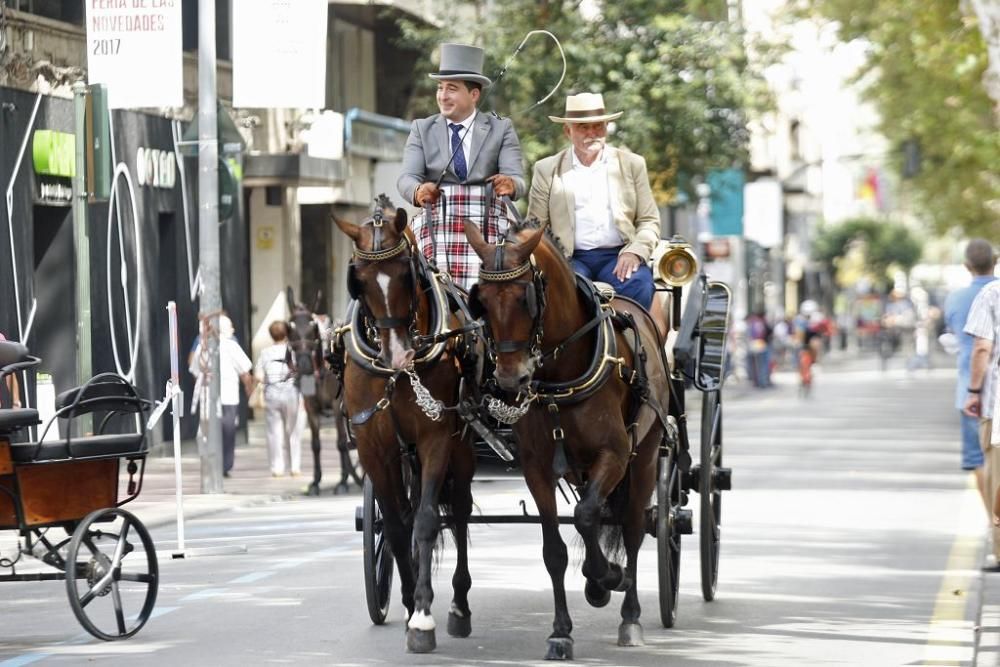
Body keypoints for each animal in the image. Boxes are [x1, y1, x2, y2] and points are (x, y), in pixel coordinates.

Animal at [282, 288, 360, 496]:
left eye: (312, 326)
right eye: (290, 327)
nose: (303, 364)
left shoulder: (336, 405)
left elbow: (341, 443)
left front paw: (342, 481)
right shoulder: (310, 407)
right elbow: (315, 444)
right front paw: (315, 482)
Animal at [334, 201, 478, 656]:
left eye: (405, 274)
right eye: (359, 281)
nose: (397, 355)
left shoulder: (435, 438)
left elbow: (428, 520)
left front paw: (424, 616)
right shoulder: (372, 446)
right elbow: (397, 526)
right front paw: (412, 599)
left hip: (461, 450)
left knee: (460, 512)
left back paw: (459, 606)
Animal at [462, 220, 668, 664]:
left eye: (526, 298)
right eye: (480, 300)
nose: (510, 380)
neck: (561, 375)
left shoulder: (615, 454)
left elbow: (588, 515)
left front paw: (606, 577)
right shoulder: (537, 468)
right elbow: (554, 550)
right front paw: (561, 631)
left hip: (644, 457)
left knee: (633, 527)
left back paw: (630, 615)